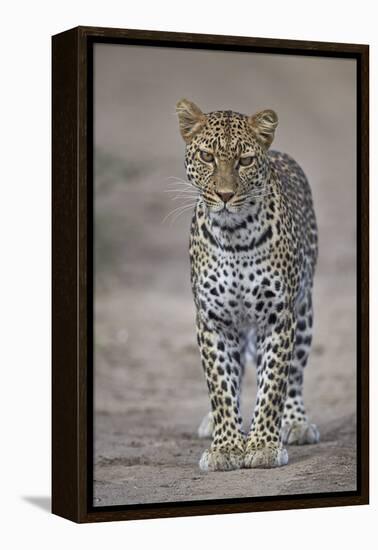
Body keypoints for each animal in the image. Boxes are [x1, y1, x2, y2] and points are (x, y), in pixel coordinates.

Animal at [176, 97, 320, 472]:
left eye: (245, 160)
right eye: (207, 156)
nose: (225, 195)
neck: (234, 234)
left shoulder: (278, 318)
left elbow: (273, 386)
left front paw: (263, 445)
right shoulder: (213, 321)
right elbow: (220, 386)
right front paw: (226, 446)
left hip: (304, 311)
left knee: (295, 376)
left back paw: (295, 423)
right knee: (237, 372)